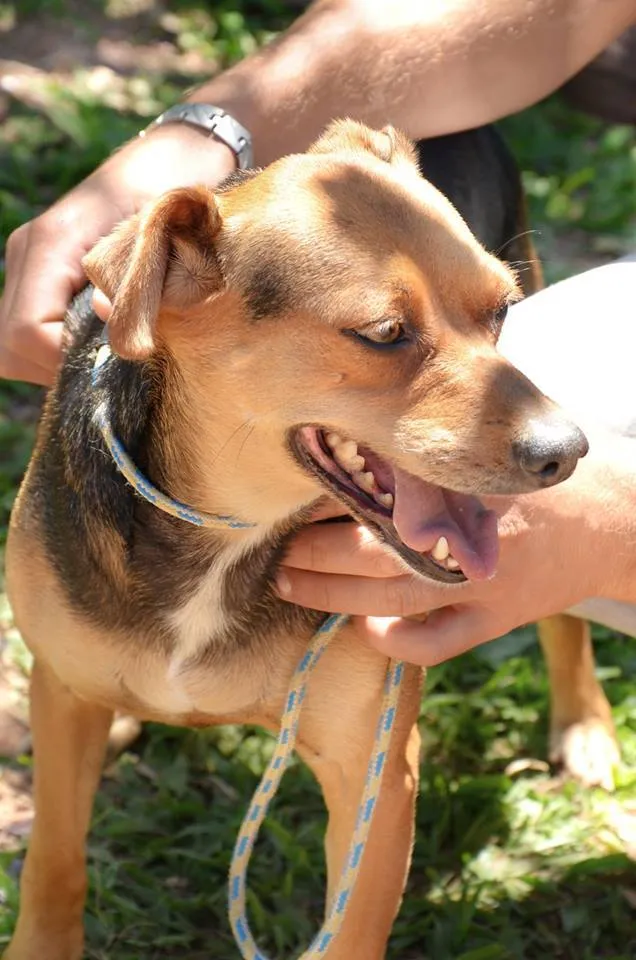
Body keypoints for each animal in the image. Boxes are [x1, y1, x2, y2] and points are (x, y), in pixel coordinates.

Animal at [4, 122, 608, 960]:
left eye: (502, 312)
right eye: (384, 335)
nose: (567, 451)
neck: (229, 538)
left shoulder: (375, 776)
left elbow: (350, 931)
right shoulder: (59, 701)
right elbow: (54, 864)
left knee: (562, 615)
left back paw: (585, 727)